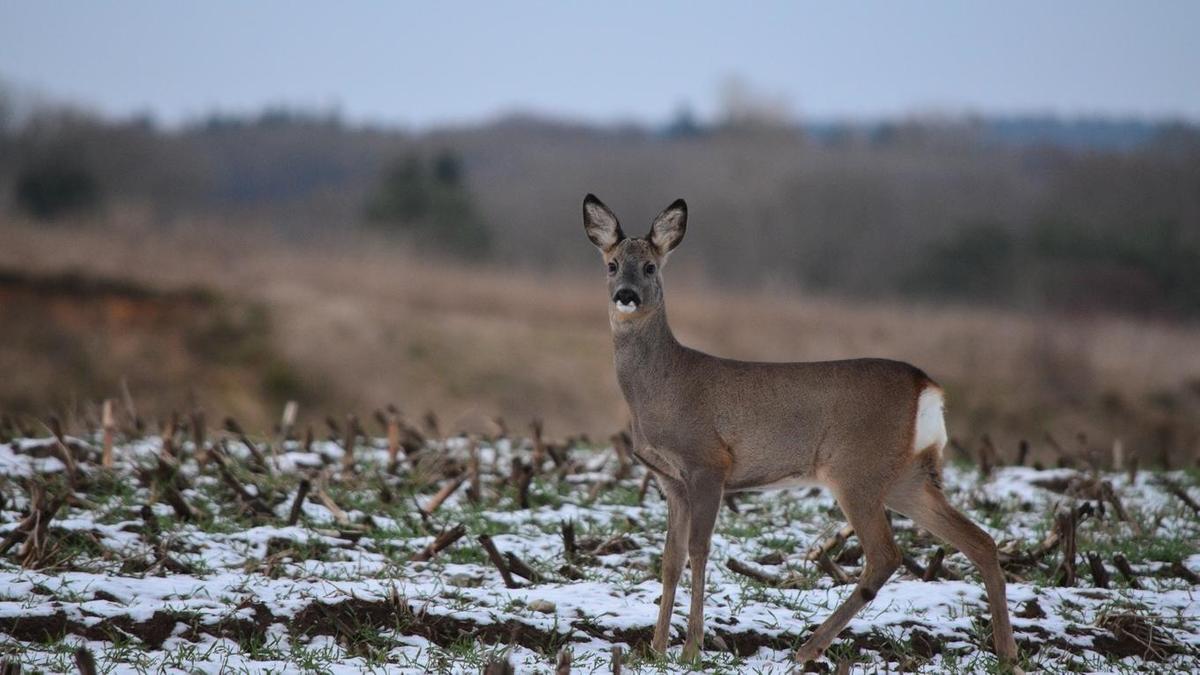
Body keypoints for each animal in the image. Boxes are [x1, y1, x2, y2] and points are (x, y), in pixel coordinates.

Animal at [585, 194, 1017, 667]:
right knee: (981, 541)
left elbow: (699, 551)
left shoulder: (708, 463)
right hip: (907, 476)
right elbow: (670, 558)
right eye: (611, 264)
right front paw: (656, 649)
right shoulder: (670, 479)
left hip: (856, 469)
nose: (626, 296)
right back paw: (1008, 654)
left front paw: (691, 650)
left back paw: (809, 648)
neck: (663, 386)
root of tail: (927, 386)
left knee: (886, 554)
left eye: (650, 267)